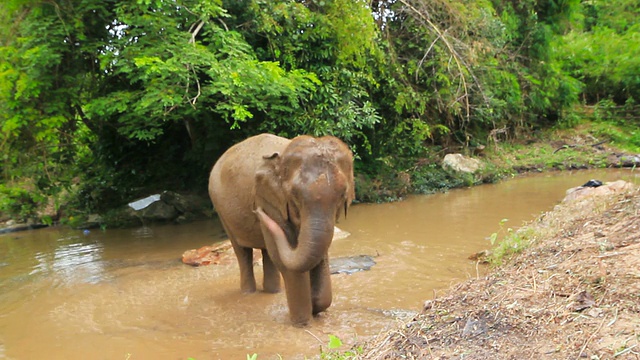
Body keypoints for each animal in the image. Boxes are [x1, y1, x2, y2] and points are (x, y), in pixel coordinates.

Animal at [208, 134, 356, 328]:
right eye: (294, 194)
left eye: (342, 195)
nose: (257, 211)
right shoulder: (267, 199)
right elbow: (286, 262)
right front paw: (302, 325)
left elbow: (318, 255)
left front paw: (316, 307)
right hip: (221, 209)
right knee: (243, 252)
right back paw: (249, 293)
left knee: (267, 253)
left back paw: (273, 292)